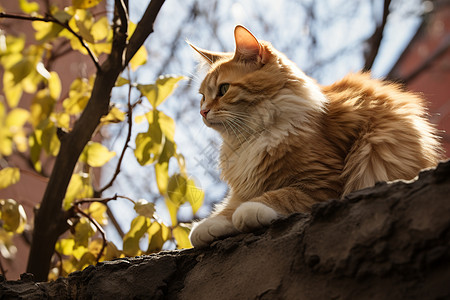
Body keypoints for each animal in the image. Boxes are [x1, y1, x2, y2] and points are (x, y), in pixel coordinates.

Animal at [188, 24, 442, 247]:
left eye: (223, 89)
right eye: (202, 97)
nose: (202, 111)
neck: (252, 137)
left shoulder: (323, 180)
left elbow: (279, 196)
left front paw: (250, 211)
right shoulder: (244, 187)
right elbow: (227, 209)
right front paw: (210, 226)